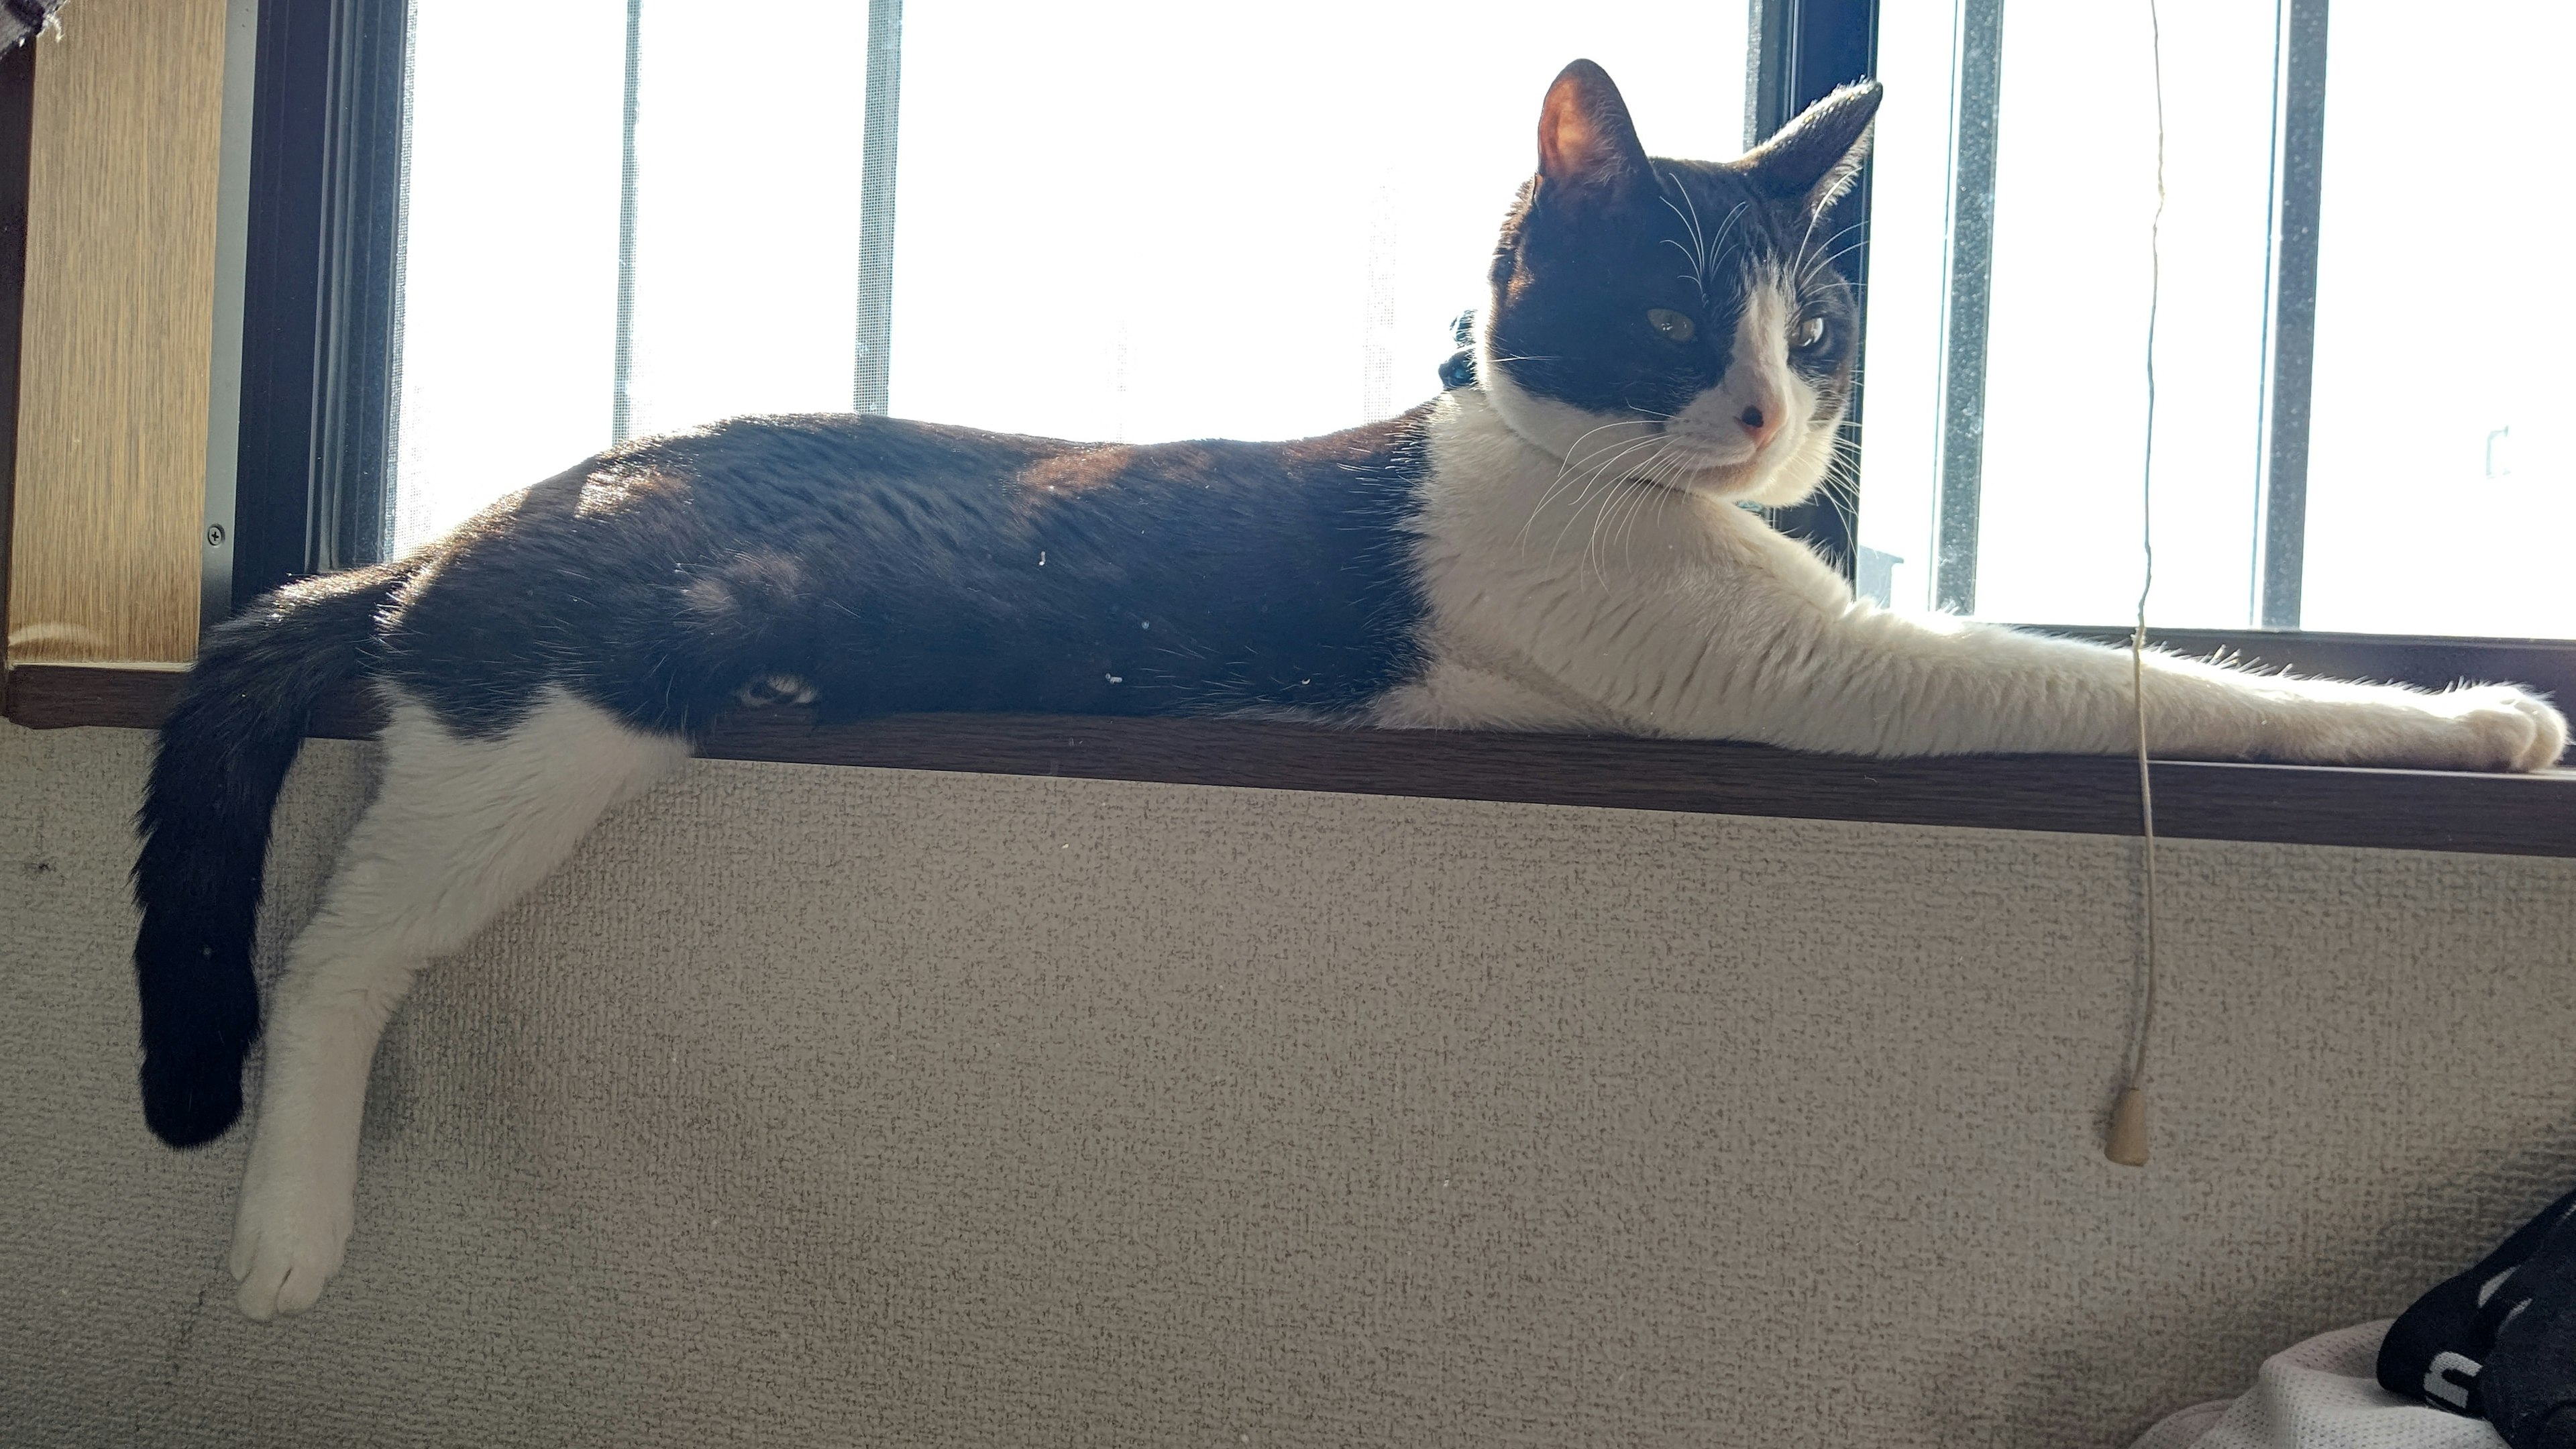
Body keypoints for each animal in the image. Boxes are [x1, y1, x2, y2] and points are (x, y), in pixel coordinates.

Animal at [136, 62, 2555, 1315]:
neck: (1563, 468)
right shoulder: (1815, 669)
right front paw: (2485, 722)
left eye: (1818, 331)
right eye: (1673, 324)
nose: (1769, 419)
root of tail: (463, 528)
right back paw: (285, 1232)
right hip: (551, 719)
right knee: (341, 944)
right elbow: (2142, 689)